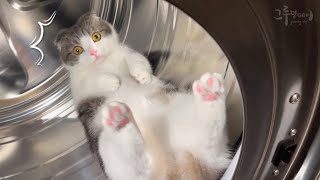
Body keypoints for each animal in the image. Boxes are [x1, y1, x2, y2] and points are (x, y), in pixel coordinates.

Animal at [55, 13, 230, 180]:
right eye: (77, 50)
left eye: (96, 36)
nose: (94, 52)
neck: (105, 63)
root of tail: (174, 168)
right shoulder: (78, 87)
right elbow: (90, 79)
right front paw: (111, 82)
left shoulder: (129, 52)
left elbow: (138, 60)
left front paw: (141, 75)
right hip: (105, 151)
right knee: (136, 170)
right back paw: (119, 120)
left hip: (181, 109)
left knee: (208, 144)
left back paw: (210, 92)